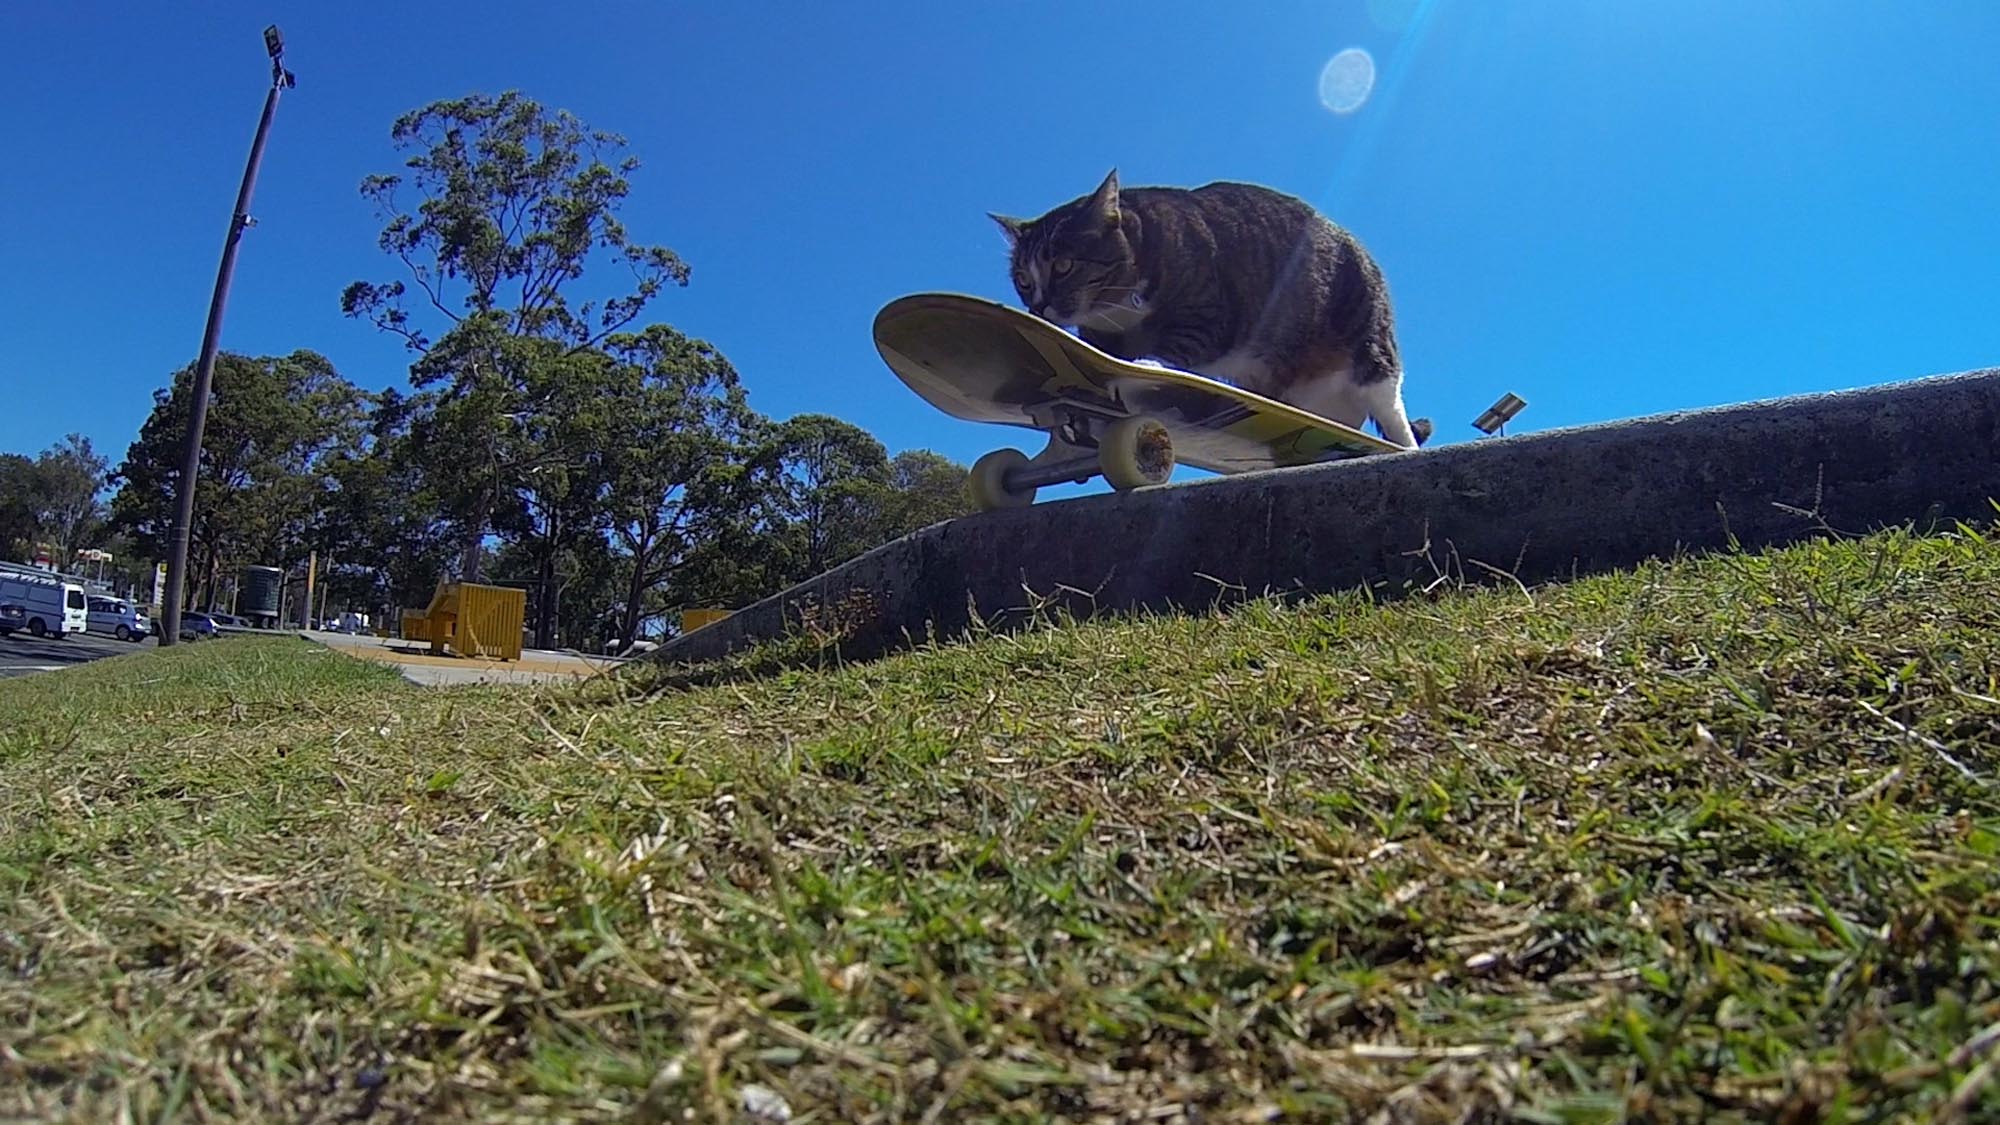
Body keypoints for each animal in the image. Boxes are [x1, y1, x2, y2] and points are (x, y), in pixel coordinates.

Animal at [984, 168, 1424, 444]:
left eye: (1063, 265)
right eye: (1022, 280)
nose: (1039, 308)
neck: (1122, 307)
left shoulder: (1211, 314)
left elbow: (1176, 347)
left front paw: (1137, 370)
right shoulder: (1100, 333)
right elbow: (1097, 355)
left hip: (1369, 338)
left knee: (1390, 406)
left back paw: (1403, 444)